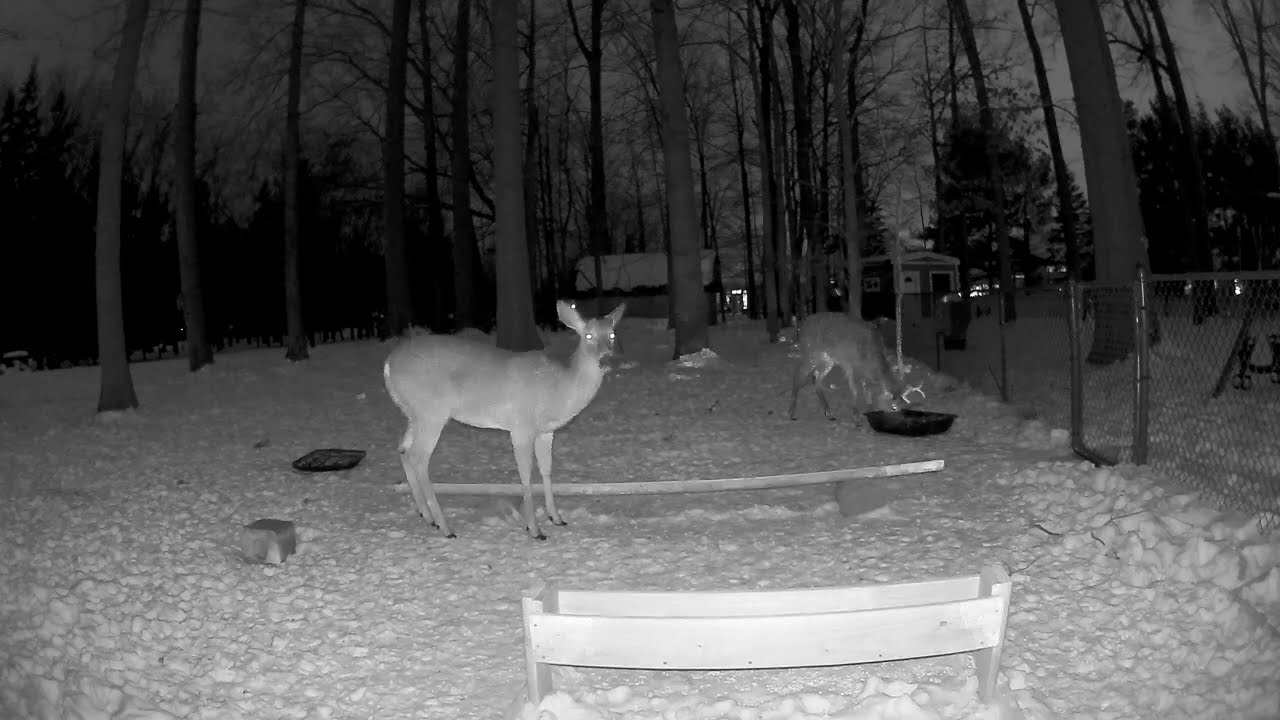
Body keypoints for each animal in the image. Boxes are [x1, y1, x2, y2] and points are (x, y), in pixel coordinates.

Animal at [383, 300, 626, 540]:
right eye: (588, 335)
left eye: (612, 334)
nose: (606, 359)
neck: (561, 387)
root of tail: (387, 365)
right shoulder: (521, 425)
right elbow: (525, 473)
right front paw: (535, 529)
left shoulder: (546, 431)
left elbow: (546, 470)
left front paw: (556, 518)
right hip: (431, 412)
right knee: (418, 457)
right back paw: (446, 528)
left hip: (415, 413)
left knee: (403, 449)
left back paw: (427, 516)